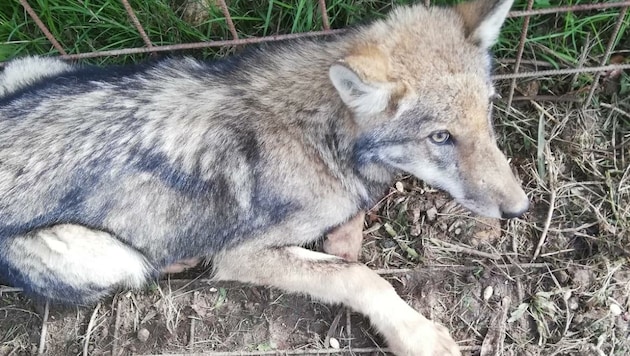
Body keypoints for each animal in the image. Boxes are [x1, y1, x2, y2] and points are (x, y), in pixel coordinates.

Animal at [0, 0, 528, 354]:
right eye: (441, 137)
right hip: (106, 255)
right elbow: (360, 277)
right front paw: (417, 335)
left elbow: (348, 242)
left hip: (32, 67)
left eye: (487, 112)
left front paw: (345, 234)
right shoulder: (242, 256)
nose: (521, 208)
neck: (319, 132)